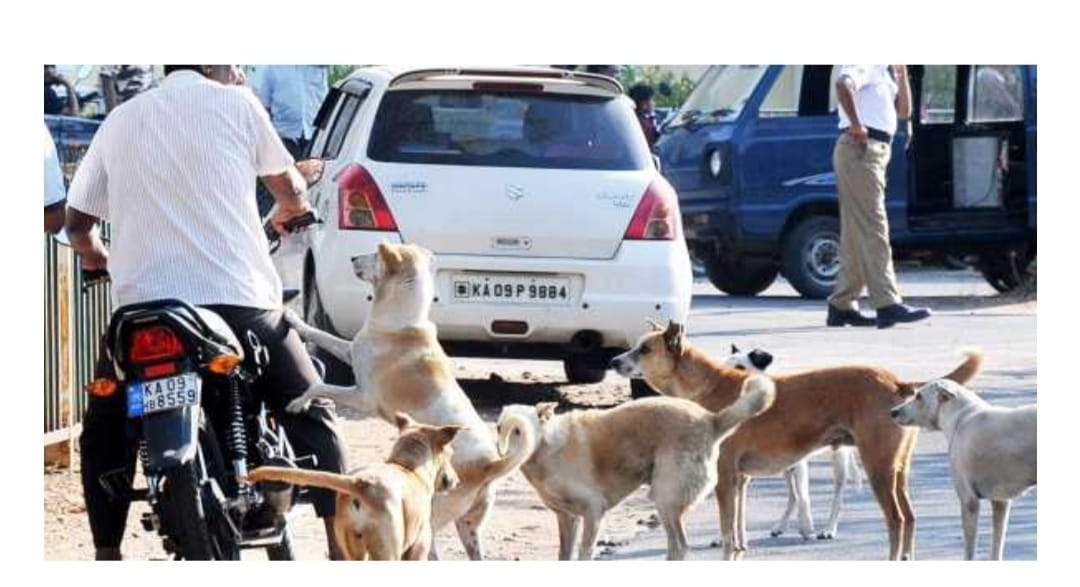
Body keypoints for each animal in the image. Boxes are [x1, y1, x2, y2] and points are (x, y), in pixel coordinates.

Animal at [247, 412, 462, 561]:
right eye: (451, 454)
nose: (456, 480)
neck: (407, 467)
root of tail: (360, 484)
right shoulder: (419, 545)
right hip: (386, 551)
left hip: (352, 547)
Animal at [280, 241, 529, 561]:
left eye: (375, 255)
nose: (353, 258)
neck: (403, 320)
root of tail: (488, 465)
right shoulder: (350, 351)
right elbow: (321, 335)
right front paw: (293, 320)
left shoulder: (362, 397)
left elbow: (319, 384)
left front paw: (299, 402)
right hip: (469, 528)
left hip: (428, 521)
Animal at [496, 377, 777, 561]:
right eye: (500, 427)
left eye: (519, 430)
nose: (502, 453)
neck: (547, 445)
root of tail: (711, 420)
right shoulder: (567, 518)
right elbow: (564, 555)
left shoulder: (593, 512)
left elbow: (585, 554)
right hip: (666, 503)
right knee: (676, 546)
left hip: (665, 499)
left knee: (681, 547)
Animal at [613, 321, 984, 561]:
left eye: (643, 349)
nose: (613, 360)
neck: (707, 385)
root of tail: (897, 383)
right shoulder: (740, 479)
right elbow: (738, 527)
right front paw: (740, 549)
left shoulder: (726, 477)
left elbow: (728, 529)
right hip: (897, 471)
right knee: (910, 518)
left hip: (877, 468)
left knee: (896, 520)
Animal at [894, 377, 1036, 561]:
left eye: (919, 396)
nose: (893, 412)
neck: (960, 417)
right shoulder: (1000, 502)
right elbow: (996, 550)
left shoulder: (969, 501)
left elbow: (969, 553)